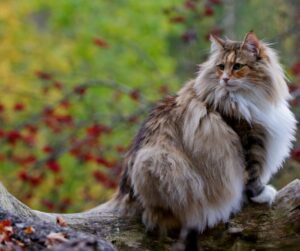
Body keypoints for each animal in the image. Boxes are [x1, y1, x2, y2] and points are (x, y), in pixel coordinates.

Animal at [107, 32, 296, 250]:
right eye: (221, 66)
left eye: (237, 66)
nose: (225, 79)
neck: (245, 98)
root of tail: (126, 195)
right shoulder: (249, 140)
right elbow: (253, 175)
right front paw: (262, 194)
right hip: (158, 161)